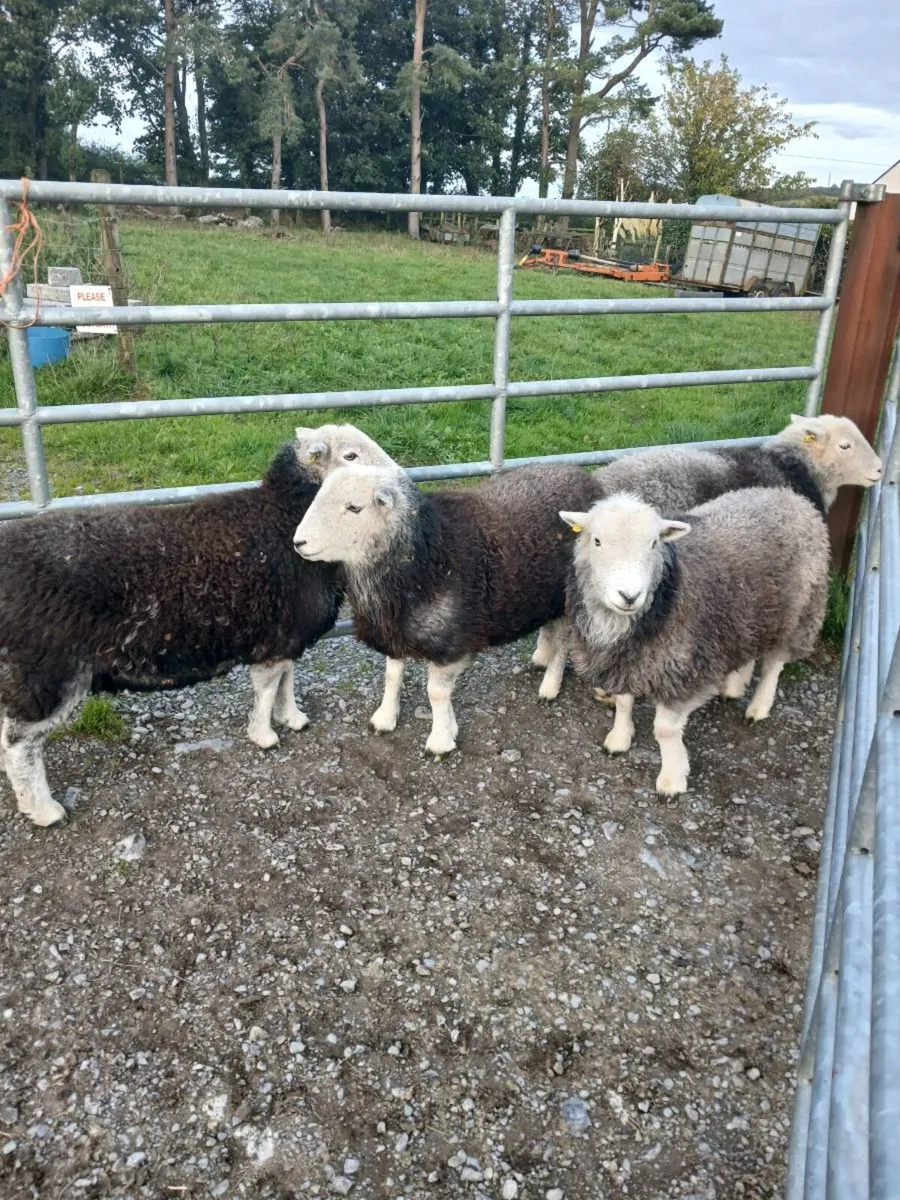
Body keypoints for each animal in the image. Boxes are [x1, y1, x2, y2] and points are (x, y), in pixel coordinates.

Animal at [0, 424, 393, 829]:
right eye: (349, 456)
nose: (395, 483)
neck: (281, 516)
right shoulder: (274, 637)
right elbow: (267, 689)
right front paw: (265, 735)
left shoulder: (285, 635)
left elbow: (287, 680)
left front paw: (293, 718)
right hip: (46, 668)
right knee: (18, 744)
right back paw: (45, 810)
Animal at [292, 462, 602, 755]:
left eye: (354, 507)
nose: (298, 542)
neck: (425, 554)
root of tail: (585, 478)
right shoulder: (398, 628)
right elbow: (392, 677)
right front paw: (385, 719)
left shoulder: (451, 639)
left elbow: (436, 694)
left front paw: (440, 740)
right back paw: (541, 656)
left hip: (571, 597)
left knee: (563, 643)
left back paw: (550, 685)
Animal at [560, 487, 829, 797]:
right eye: (597, 540)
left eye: (654, 543)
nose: (629, 596)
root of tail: (790, 496)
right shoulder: (627, 659)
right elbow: (624, 702)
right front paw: (619, 739)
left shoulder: (684, 667)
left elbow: (665, 730)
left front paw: (671, 780)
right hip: (747, 614)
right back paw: (735, 686)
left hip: (800, 610)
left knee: (775, 664)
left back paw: (758, 707)